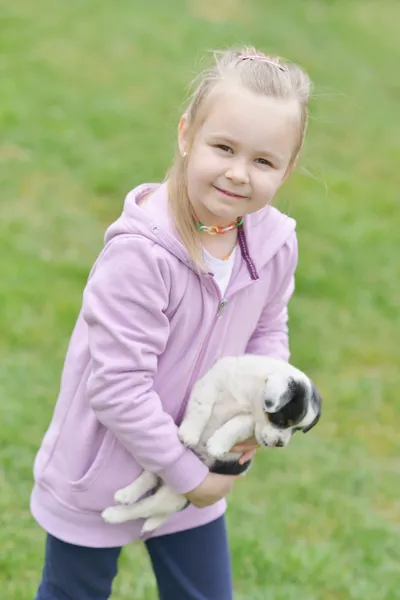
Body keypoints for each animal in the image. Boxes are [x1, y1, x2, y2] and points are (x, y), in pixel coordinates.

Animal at [101, 354, 322, 532]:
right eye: (283, 420)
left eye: (296, 430)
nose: (280, 444)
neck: (249, 394)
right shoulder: (211, 381)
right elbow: (202, 406)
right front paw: (190, 433)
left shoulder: (249, 421)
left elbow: (237, 423)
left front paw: (217, 445)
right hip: (165, 469)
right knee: (148, 480)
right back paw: (126, 494)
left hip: (174, 496)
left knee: (143, 507)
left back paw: (113, 514)